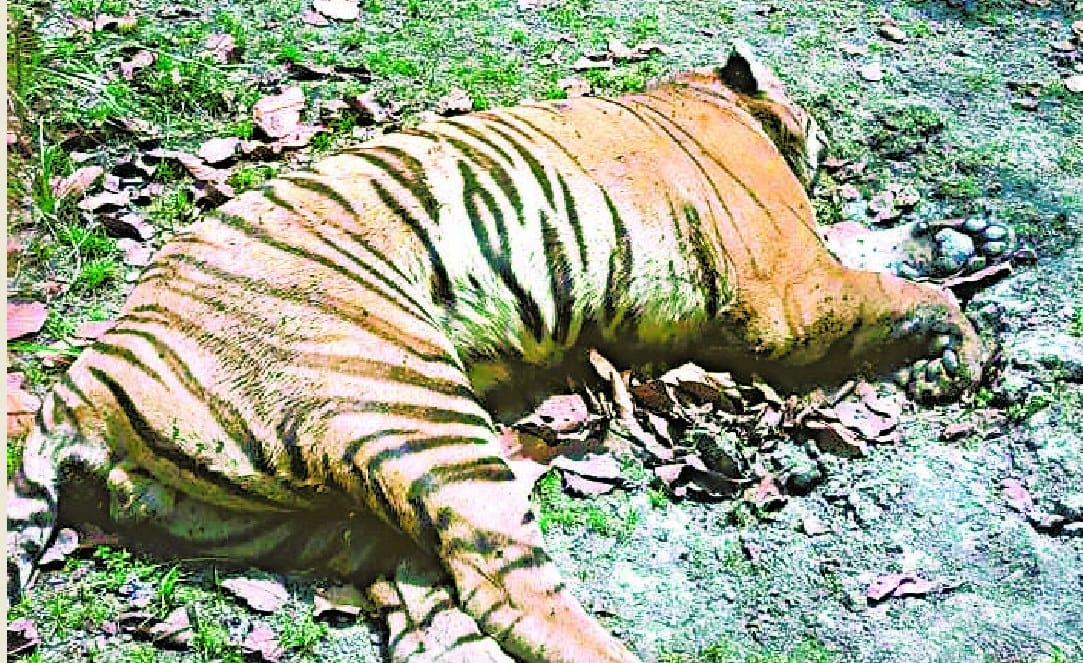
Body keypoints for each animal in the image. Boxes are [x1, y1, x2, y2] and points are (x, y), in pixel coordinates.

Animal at [7, 40, 985, 663]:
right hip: (413, 407)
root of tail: (81, 382)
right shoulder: (785, 294)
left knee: (436, 608)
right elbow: (904, 291)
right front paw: (959, 345)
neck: (706, 95)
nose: (833, 144)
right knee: (509, 592)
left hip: (317, 519)